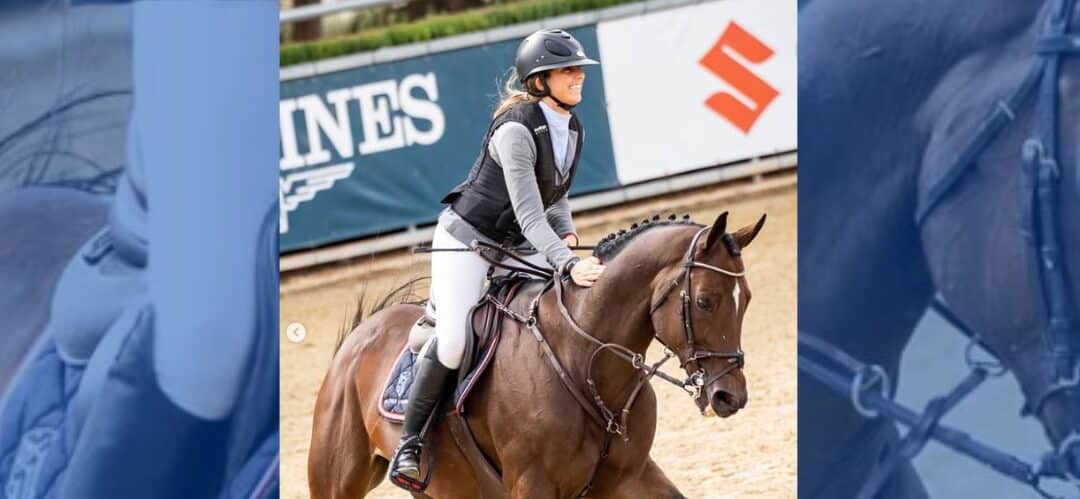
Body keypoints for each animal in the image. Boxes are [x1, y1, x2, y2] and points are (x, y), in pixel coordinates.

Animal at [311, 211, 768, 499]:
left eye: (746, 298)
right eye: (705, 301)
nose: (730, 397)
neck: (584, 363)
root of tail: (357, 338)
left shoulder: (632, 477)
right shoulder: (532, 485)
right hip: (336, 481)